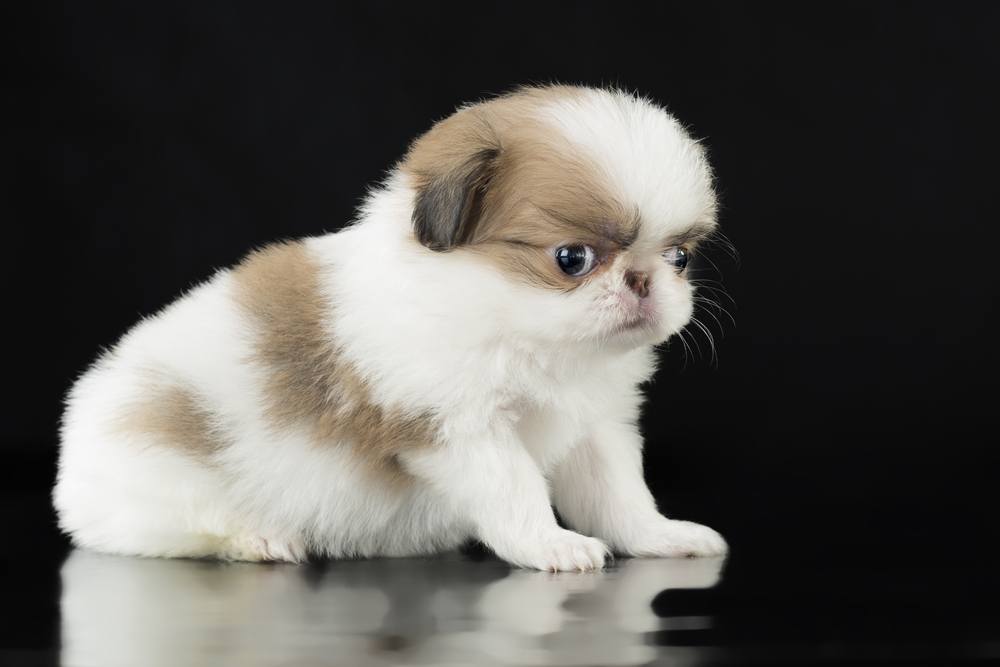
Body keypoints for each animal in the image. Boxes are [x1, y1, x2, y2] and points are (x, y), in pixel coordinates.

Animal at [54, 83, 728, 572]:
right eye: (572, 259)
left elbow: (621, 496)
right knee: (182, 530)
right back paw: (259, 539)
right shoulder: (461, 429)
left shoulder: (597, 428)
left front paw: (660, 536)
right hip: (160, 483)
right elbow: (514, 490)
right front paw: (550, 545)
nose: (643, 280)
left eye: (679, 258)